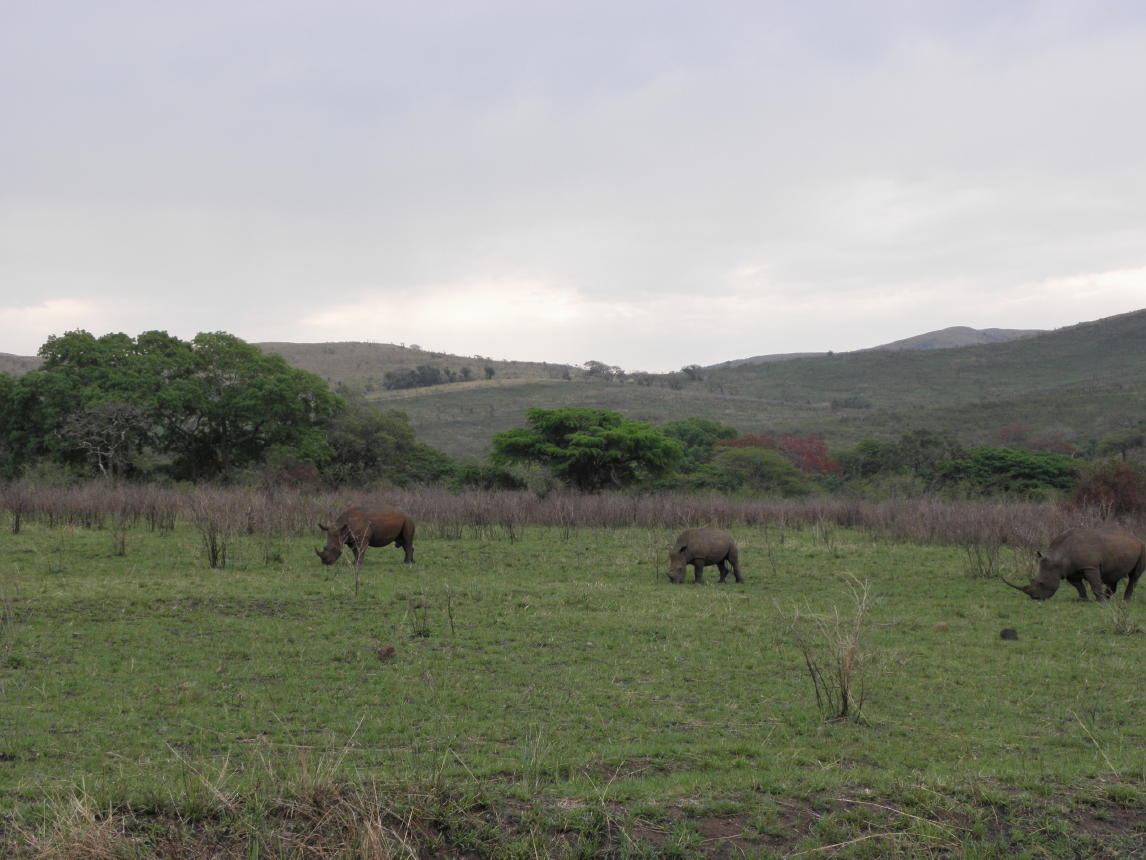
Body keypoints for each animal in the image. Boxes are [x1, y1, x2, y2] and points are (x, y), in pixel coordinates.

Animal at [1008, 525, 1141, 600]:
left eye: (1041, 583)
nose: (1035, 598)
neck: (1057, 557)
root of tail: (1135, 537)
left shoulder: (1090, 567)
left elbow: (1095, 583)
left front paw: (1101, 601)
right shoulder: (1070, 571)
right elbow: (1079, 586)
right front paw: (1082, 599)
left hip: (1142, 547)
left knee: (1134, 576)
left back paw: (1125, 600)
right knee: (1113, 576)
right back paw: (1109, 598)